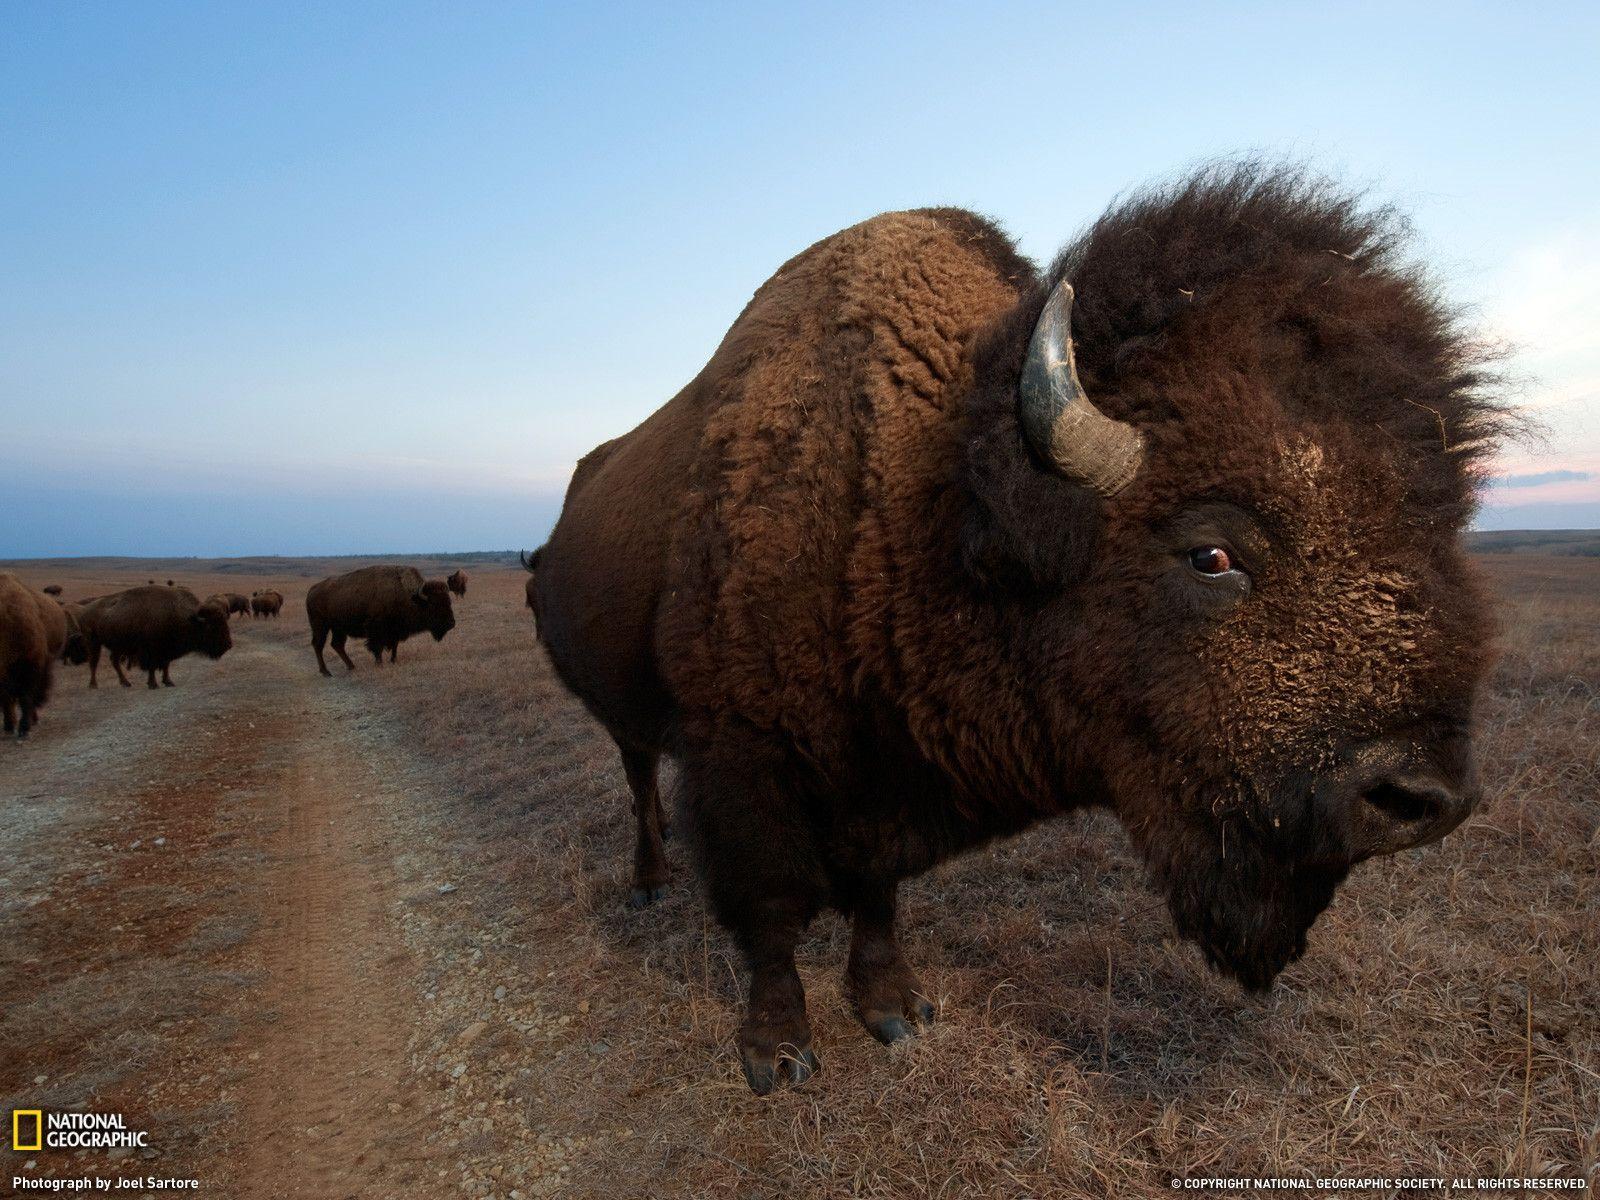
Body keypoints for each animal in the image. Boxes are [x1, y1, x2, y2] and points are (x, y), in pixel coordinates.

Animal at [77, 588, 232, 691]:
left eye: (224, 622)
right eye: (212, 626)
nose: (228, 645)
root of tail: (85, 609)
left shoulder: (166, 650)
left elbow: (166, 666)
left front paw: (168, 682)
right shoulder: (152, 651)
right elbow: (152, 667)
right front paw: (153, 684)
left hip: (117, 646)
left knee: (114, 661)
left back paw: (126, 683)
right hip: (93, 642)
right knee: (93, 662)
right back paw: (93, 685)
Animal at [305, 566, 457, 678]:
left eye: (449, 601)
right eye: (434, 604)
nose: (451, 624)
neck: (411, 597)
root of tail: (312, 590)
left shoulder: (395, 630)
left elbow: (395, 646)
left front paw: (393, 661)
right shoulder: (376, 630)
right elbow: (376, 647)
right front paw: (379, 664)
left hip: (338, 628)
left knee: (337, 645)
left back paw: (351, 666)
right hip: (320, 626)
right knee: (318, 645)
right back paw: (326, 672)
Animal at [534, 164, 1510, 1094]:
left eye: (1439, 529)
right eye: (1212, 553)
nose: (1423, 799)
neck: (914, 503)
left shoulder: (882, 781)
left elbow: (875, 892)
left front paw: (895, 1011)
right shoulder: (743, 761)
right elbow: (769, 911)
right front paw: (777, 1054)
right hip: (624, 714)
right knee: (638, 777)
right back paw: (650, 882)